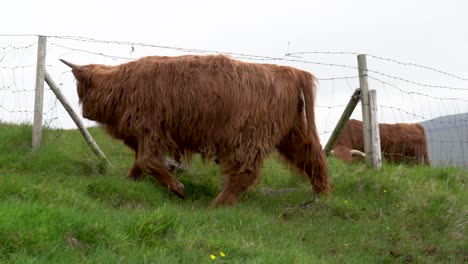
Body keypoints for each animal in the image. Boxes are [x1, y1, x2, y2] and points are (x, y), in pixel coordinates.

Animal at [62, 54, 330, 206]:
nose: (84, 113)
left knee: (247, 172)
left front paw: (178, 188)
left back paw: (219, 204)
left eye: (81, 90)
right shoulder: (146, 134)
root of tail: (291, 72)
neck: (122, 86)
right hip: (293, 134)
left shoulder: (151, 129)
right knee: (314, 158)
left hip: (250, 136)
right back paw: (322, 196)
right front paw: (130, 182)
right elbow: (139, 162)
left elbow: (147, 160)